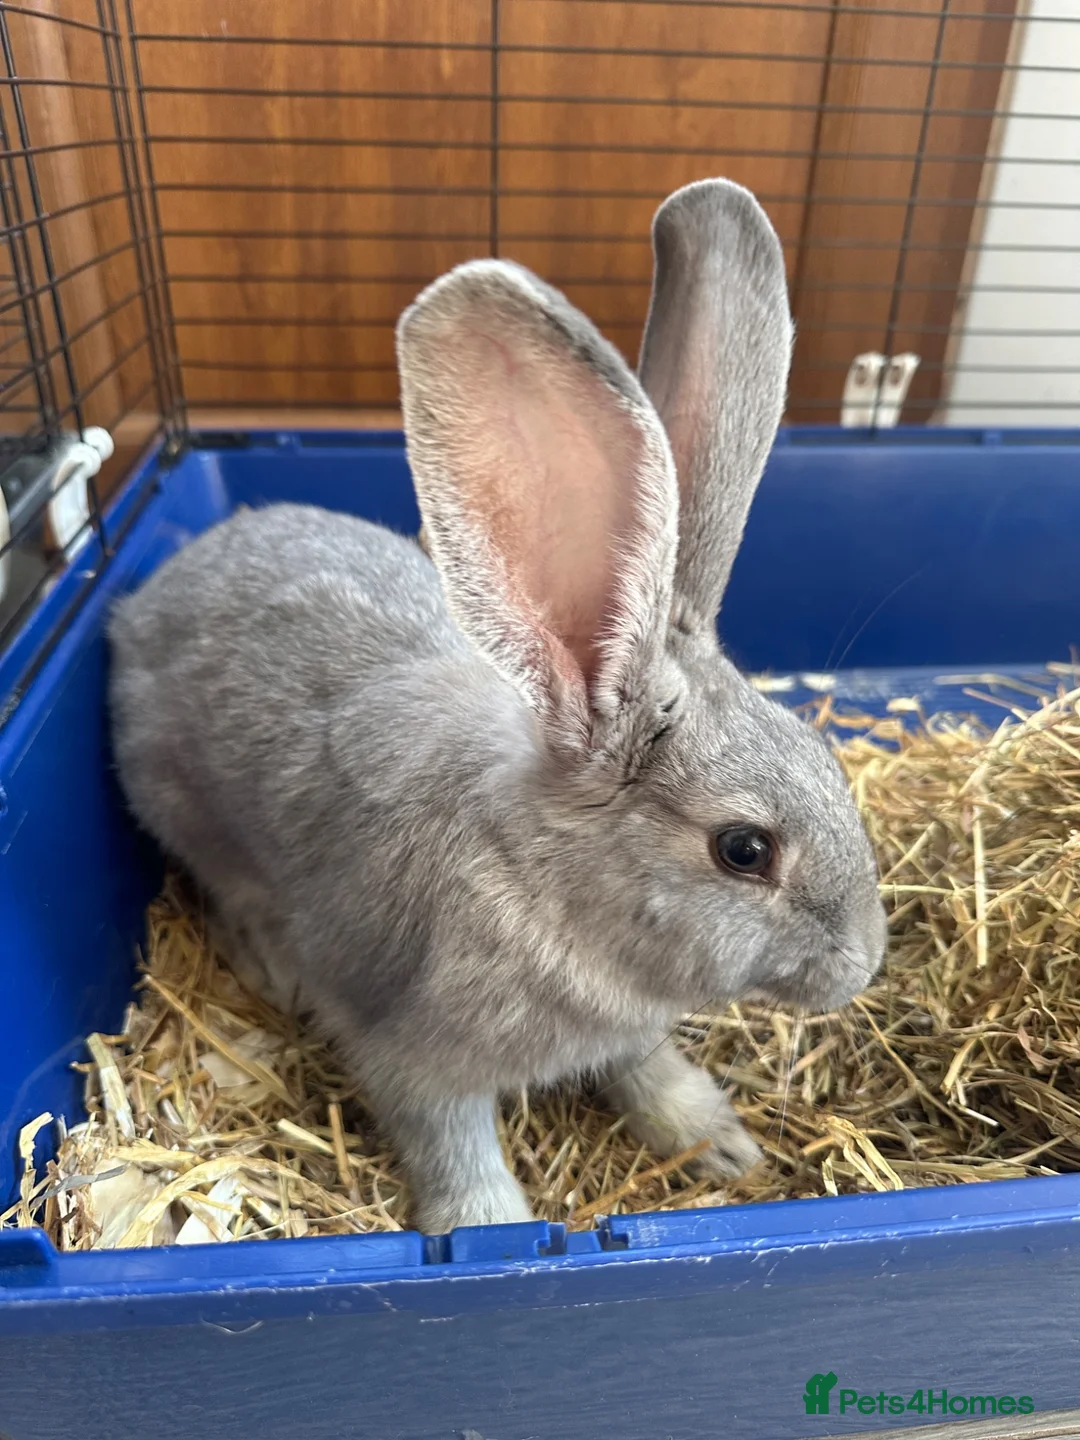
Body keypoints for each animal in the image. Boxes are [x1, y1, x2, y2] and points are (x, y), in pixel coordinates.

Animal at [108, 178, 887, 1235]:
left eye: (829, 763)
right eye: (743, 849)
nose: (865, 964)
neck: (550, 883)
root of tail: (143, 599)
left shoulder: (629, 1033)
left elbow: (648, 1069)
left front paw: (718, 1142)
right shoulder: (415, 1058)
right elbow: (453, 1145)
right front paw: (487, 1227)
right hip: (188, 814)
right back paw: (277, 969)